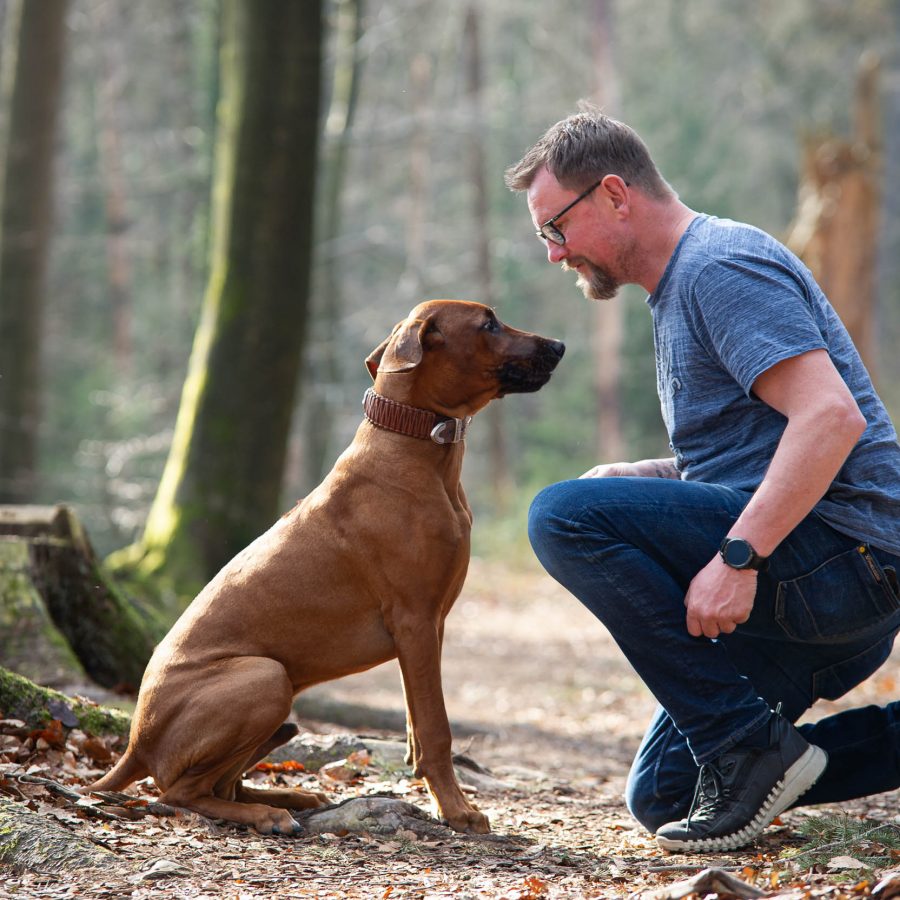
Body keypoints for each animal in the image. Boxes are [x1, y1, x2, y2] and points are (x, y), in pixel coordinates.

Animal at [89, 300, 564, 836]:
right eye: (488, 324)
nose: (560, 346)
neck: (412, 443)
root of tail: (134, 741)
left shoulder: (430, 629)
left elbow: (415, 726)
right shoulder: (416, 621)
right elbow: (436, 729)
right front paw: (456, 808)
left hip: (278, 710)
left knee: (219, 785)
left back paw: (290, 796)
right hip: (265, 676)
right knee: (179, 793)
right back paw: (266, 814)